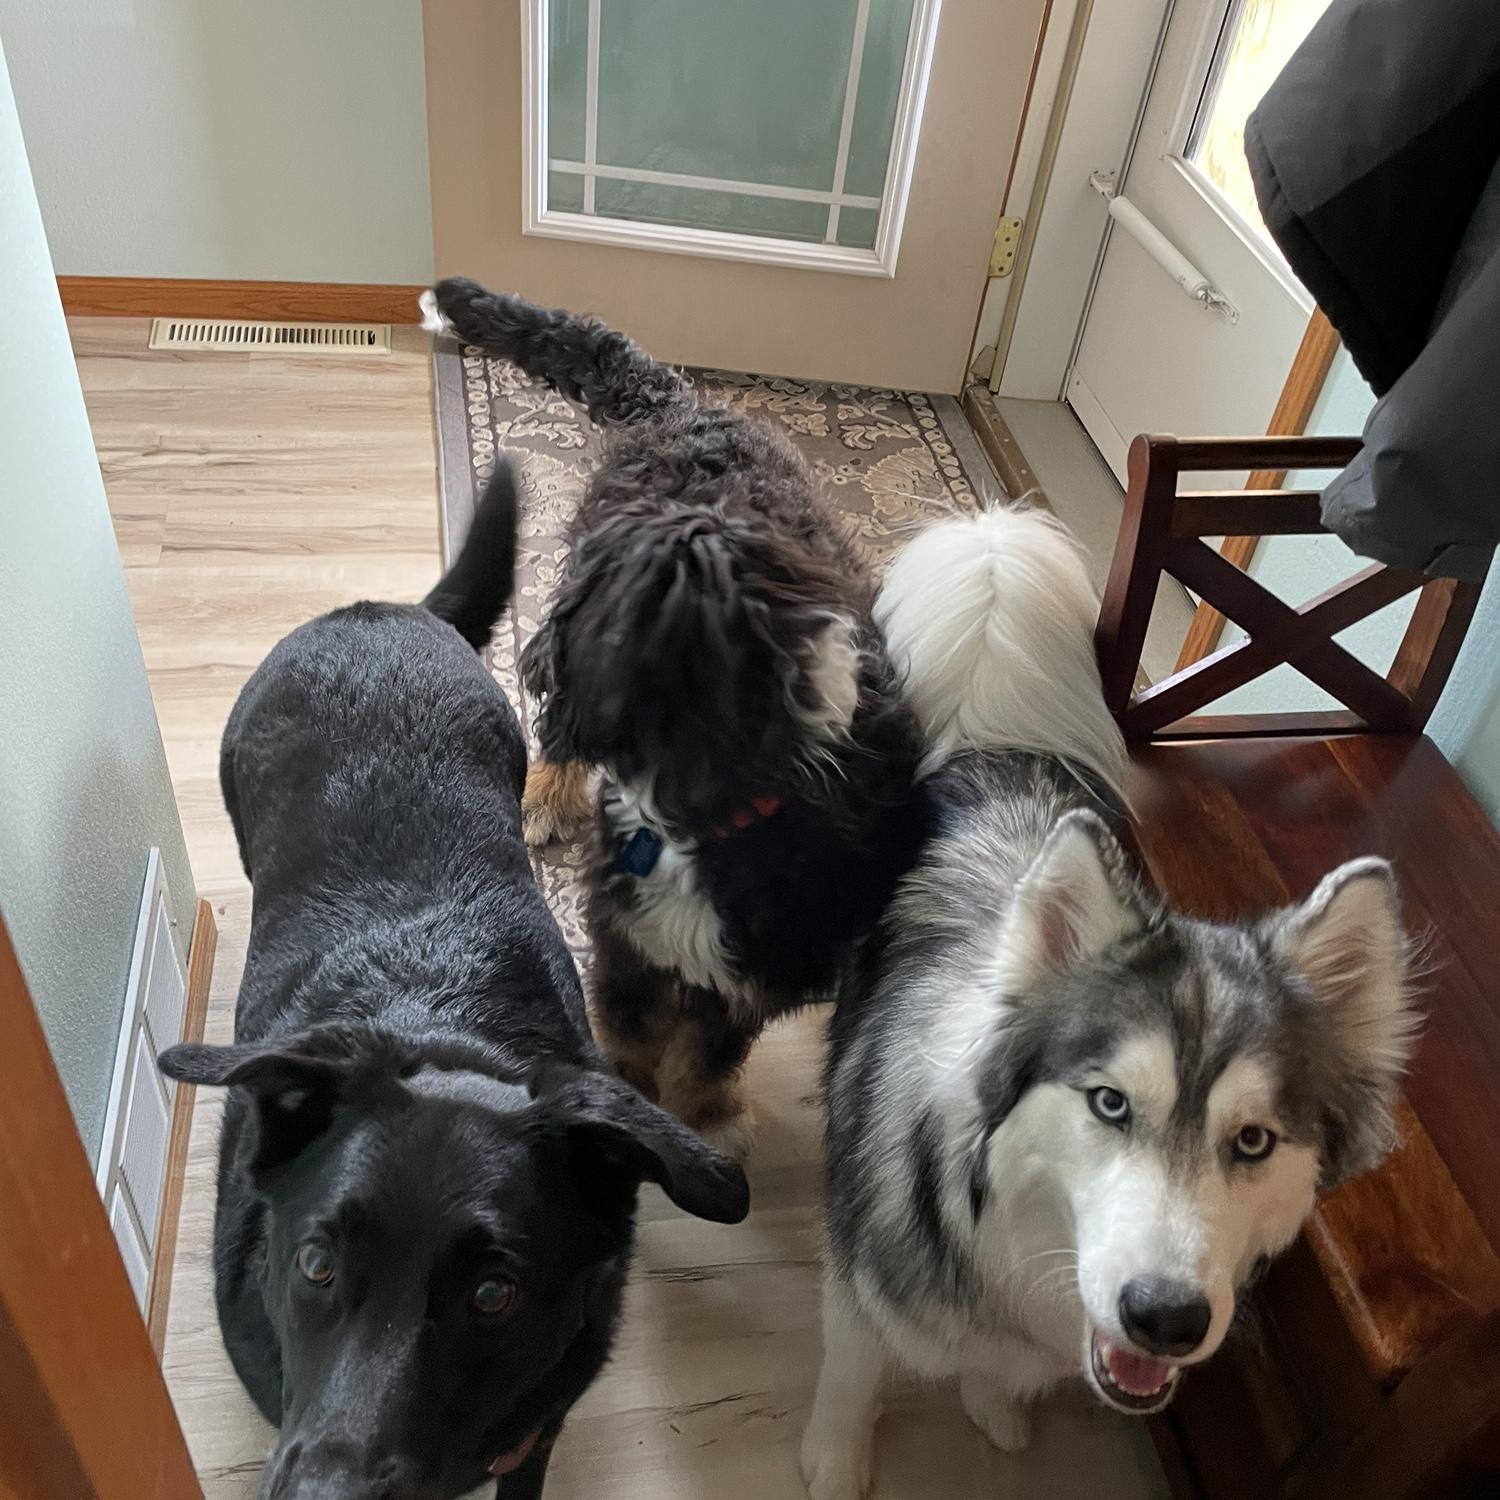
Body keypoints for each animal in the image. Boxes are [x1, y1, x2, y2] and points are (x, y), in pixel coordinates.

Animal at [159, 465, 750, 1500]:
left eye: (491, 1295)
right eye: (315, 1264)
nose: (325, 1496)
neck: (438, 1030)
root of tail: (381, 611)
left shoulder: (540, 1425)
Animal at [423, 282, 924, 1152]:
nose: (540, 653)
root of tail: (684, 405)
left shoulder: (759, 962)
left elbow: (711, 1045)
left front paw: (706, 1114)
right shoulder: (622, 932)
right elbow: (629, 1027)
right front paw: (628, 1101)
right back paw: (546, 793)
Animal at [804, 507, 1410, 1500]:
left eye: (1253, 1142)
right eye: (1109, 1104)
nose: (1168, 1319)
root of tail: (1001, 753)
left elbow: (1000, 1371)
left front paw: (994, 1403)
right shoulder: (860, 1270)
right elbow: (853, 1374)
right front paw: (835, 1462)